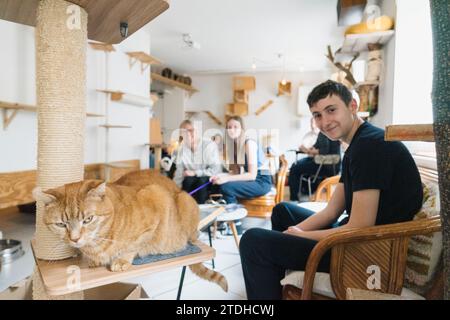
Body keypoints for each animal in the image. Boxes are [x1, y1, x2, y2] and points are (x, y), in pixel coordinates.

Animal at [34, 170, 229, 292]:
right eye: (61, 224)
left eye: (88, 219)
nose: (74, 239)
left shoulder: (155, 202)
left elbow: (133, 245)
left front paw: (121, 260)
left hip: (186, 202)